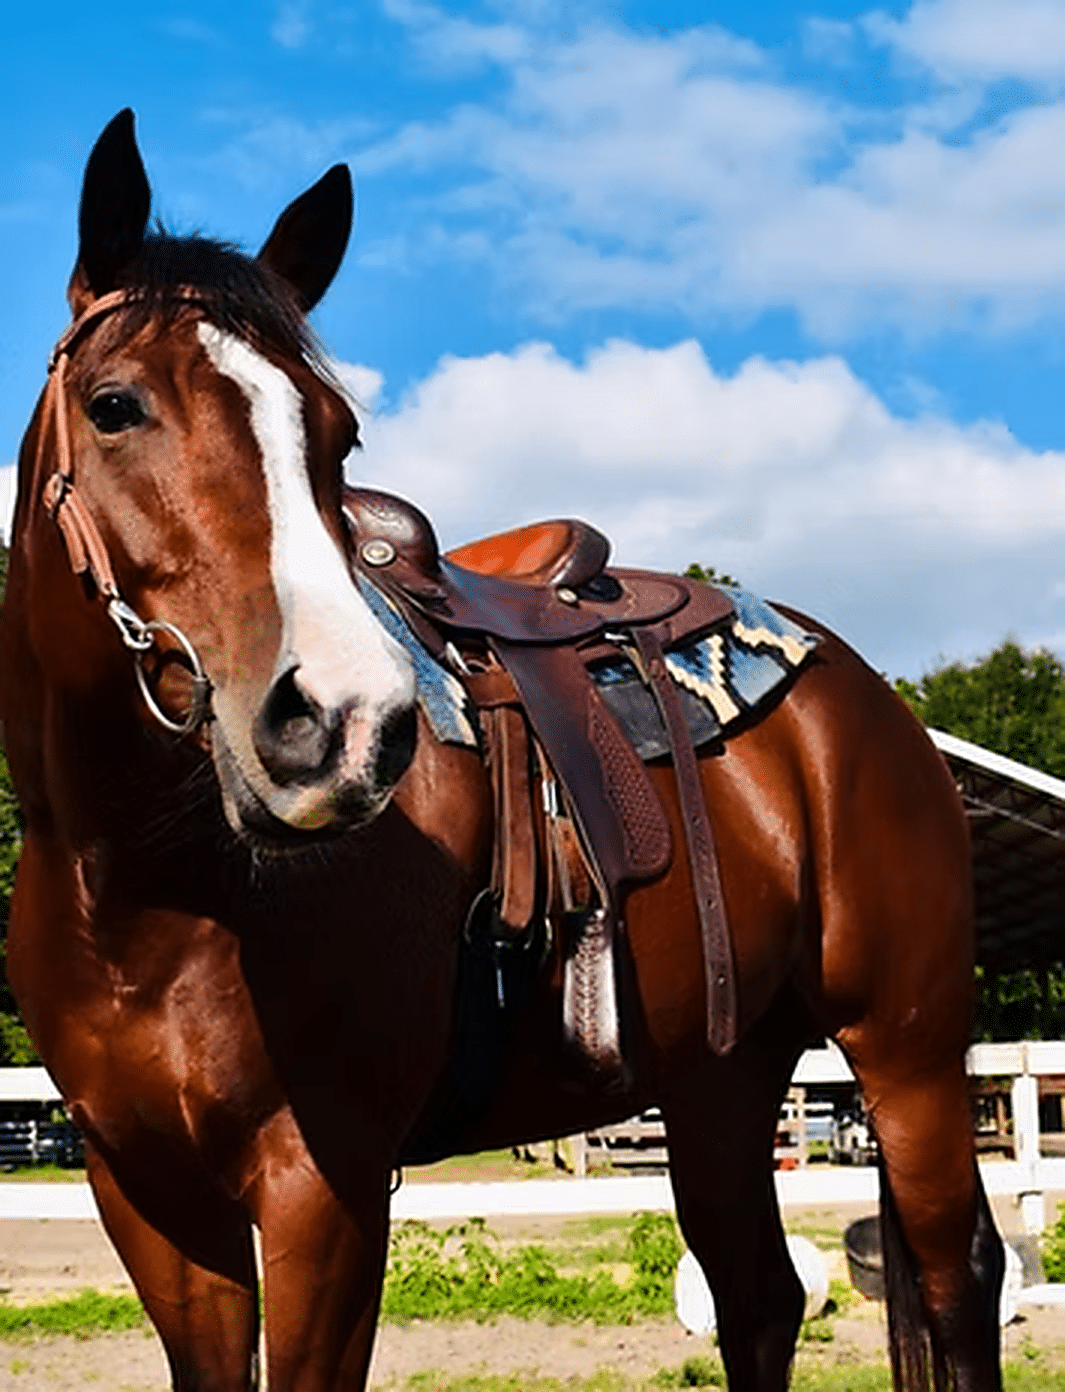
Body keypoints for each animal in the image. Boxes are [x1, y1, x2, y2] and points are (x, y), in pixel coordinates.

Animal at [0, 109, 1003, 1392]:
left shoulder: (325, 1185)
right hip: (721, 1082)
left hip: (910, 1051)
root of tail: (860, 689)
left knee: (956, 1280)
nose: (344, 724)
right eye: (116, 404)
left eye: (337, 436)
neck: (148, 891)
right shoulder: (149, 1198)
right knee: (760, 1301)